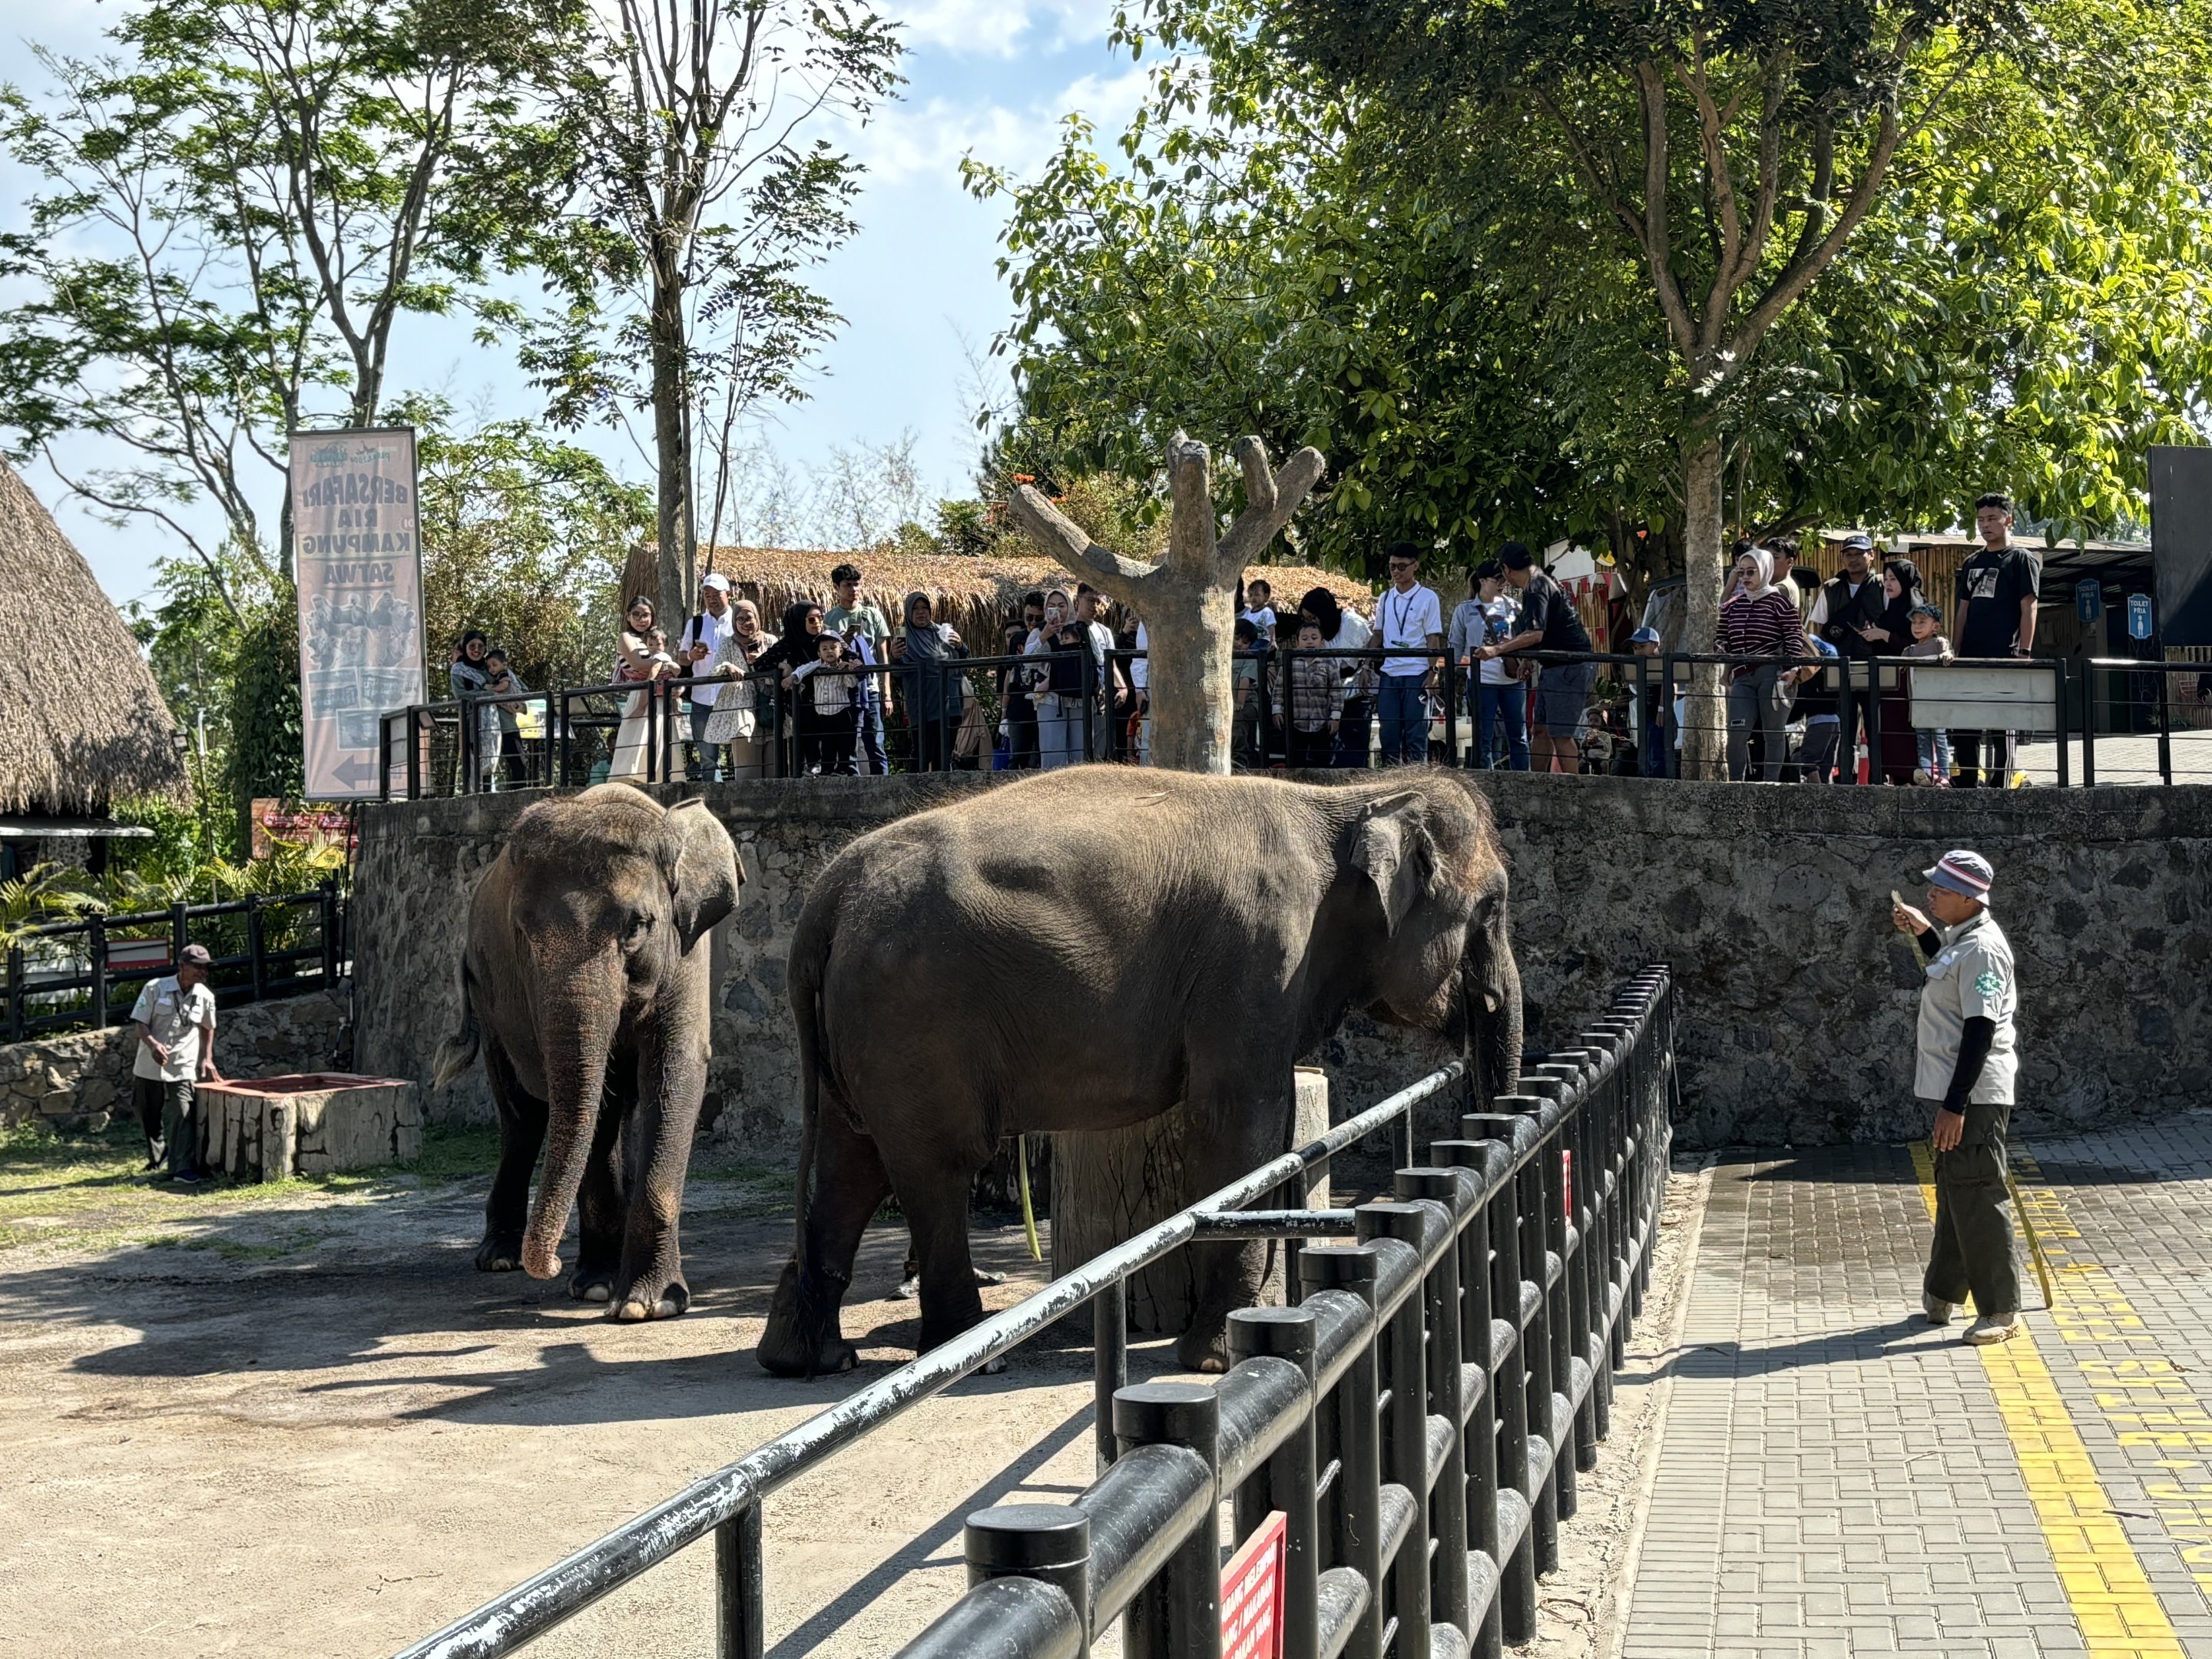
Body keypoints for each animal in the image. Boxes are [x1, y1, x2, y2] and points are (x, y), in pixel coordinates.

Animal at [433, 783, 743, 1320]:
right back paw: (500, 1258)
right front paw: (599, 1289)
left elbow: (675, 1072)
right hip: (487, 999)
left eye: (639, 925)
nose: (552, 1263)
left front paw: (649, 1305)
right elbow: (592, 1100)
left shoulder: (687, 953)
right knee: (523, 1117)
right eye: (522, 934)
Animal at [757, 765, 1521, 1378]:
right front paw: (1218, 1360)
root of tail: (826, 895)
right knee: (934, 1163)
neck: (1351, 798)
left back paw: (808, 1359)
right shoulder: (1258, 959)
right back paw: (967, 1355)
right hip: (912, 1015)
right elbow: (1237, 1125)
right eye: (1494, 905)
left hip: (863, 1025)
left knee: (852, 1161)